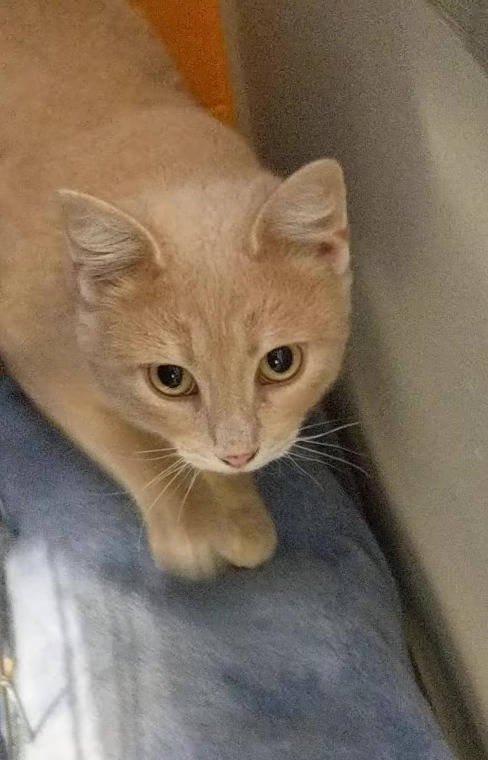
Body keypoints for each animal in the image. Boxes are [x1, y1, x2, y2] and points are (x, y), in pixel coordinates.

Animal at [0, 0, 351, 578]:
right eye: (170, 379)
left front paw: (240, 510)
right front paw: (189, 523)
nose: (239, 453)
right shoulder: (38, 354)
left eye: (280, 363)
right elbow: (129, 440)